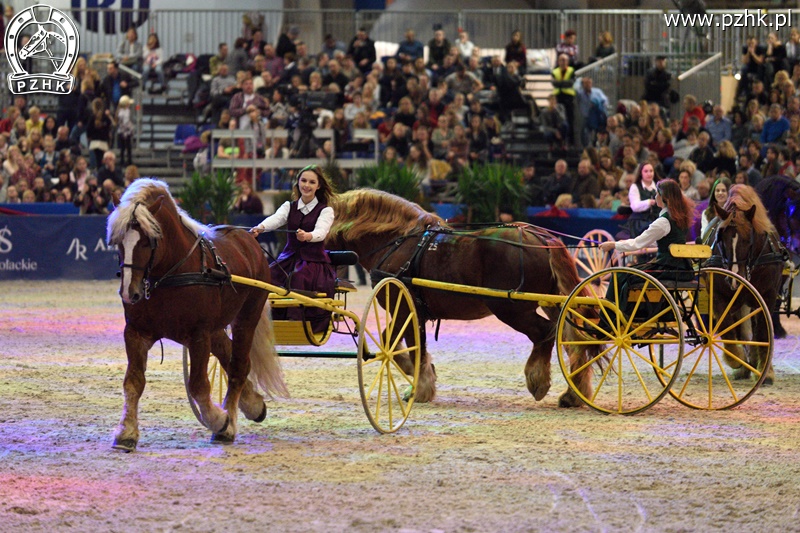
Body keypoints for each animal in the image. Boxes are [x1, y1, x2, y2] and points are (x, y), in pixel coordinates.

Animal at [106, 179, 288, 448]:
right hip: (217, 327)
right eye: (118, 241)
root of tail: (248, 239)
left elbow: (199, 386)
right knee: (228, 354)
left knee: (238, 366)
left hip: (247, 317)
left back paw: (228, 425)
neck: (170, 274)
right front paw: (126, 432)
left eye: (148, 240)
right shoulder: (136, 332)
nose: (130, 292)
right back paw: (253, 404)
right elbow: (133, 382)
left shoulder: (199, 335)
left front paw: (219, 420)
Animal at [330, 189, 600, 406]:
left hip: (511, 309)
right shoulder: (409, 310)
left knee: (544, 333)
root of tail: (542, 238)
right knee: (571, 338)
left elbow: (406, 345)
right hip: (554, 303)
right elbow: (401, 342)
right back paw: (574, 394)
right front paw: (421, 378)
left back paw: (538, 381)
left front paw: (419, 386)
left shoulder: (405, 307)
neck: (399, 242)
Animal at [712, 183, 780, 382]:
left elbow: (763, 332)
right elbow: (727, 327)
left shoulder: (768, 294)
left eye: (747, 239)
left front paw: (765, 371)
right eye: (721, 238)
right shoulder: (718, 295)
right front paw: (736, 359)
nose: (734, 278)